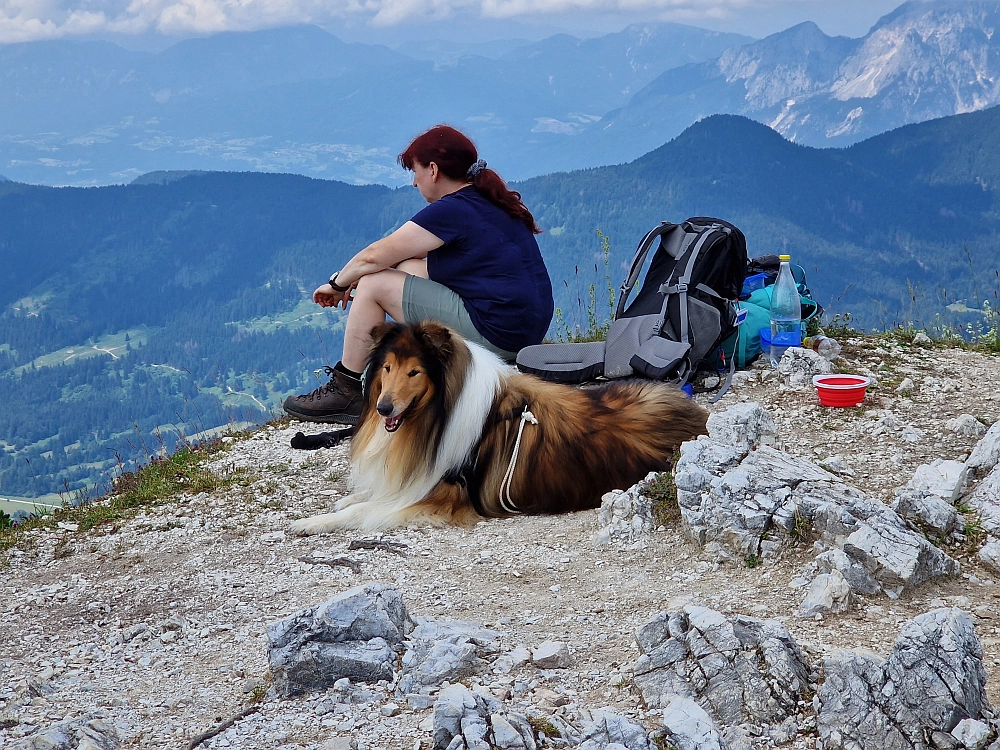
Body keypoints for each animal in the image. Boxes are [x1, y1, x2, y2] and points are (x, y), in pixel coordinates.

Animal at [288, 324, 712, 536]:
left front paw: (310, 523)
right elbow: (366, 497)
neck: (437, 416)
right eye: (388, 367)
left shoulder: (441, 496)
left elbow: (365, 511)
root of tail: (698, 418)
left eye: (415, 372)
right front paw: (344, 500)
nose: (383, 408)